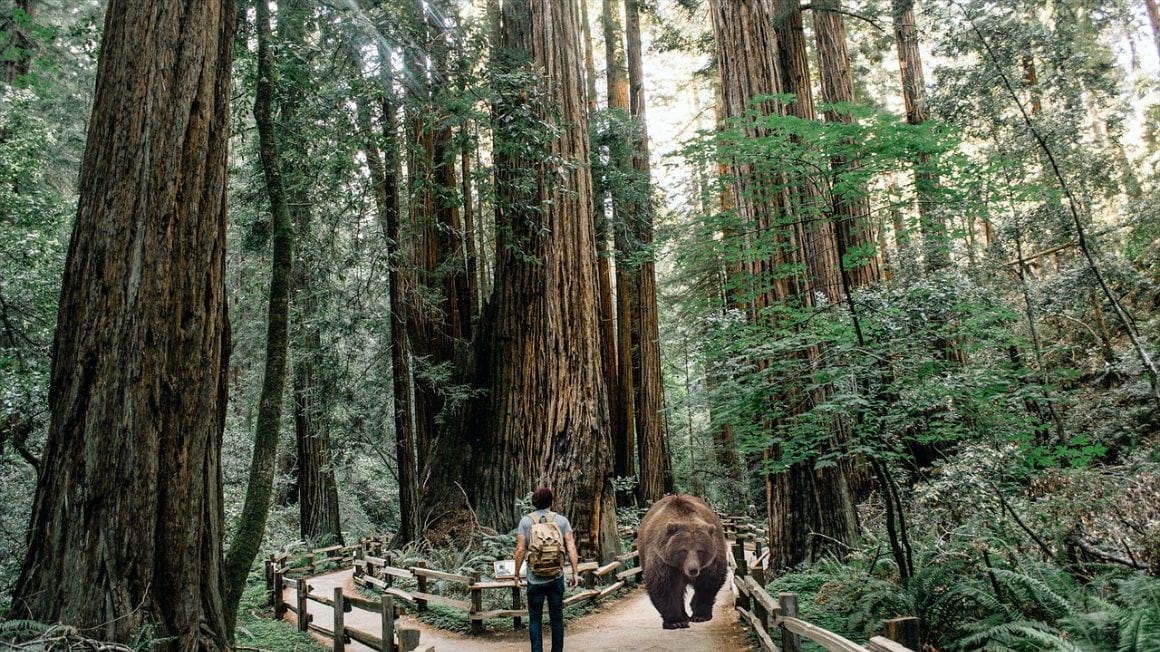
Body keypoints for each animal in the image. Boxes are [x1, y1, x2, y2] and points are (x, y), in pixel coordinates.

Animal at [635, 494, 723, 626]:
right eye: (683, 550)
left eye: (700, 551)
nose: (693, 569)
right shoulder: (663, 560)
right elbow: (664, 586)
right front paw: (676, 621)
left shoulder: (711, 561)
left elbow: (708, 583)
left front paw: (699, 615)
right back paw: (683, 615)